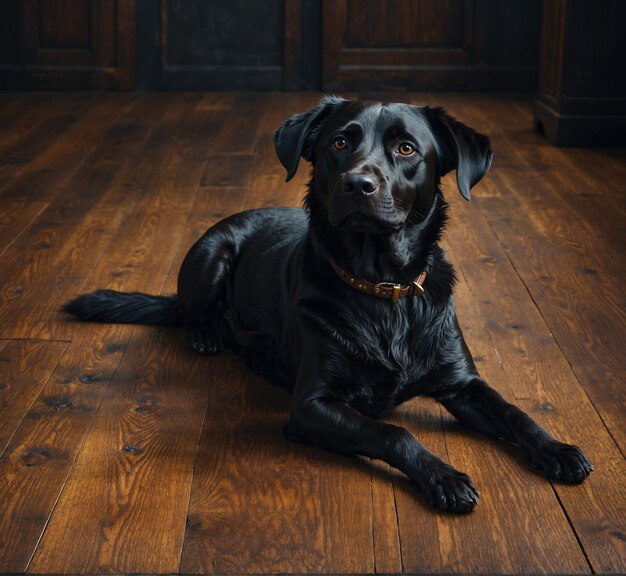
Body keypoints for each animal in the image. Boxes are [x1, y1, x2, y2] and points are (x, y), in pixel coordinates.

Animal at [64, 98, 588, 512]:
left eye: (406, 148)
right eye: (339, 143)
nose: (358, 184)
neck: (381, 288)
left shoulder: (462, 384)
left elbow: (515, 413)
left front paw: (557, 450)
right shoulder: (312, 406)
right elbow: (393, 433)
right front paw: (444, 477)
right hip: (212, 255)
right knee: (192, 313)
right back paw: (211, 335)